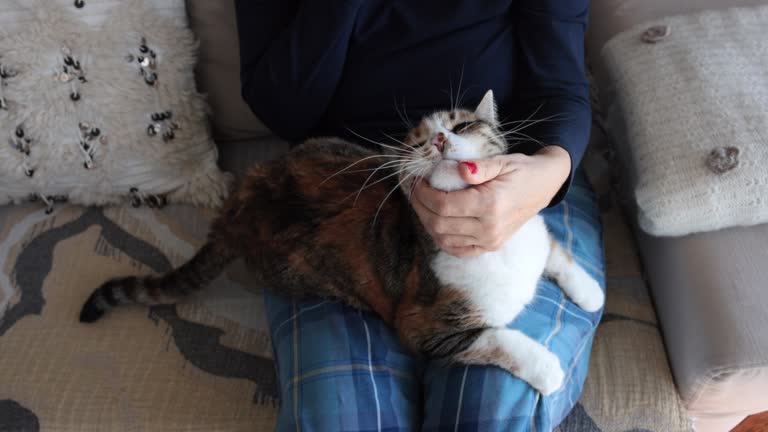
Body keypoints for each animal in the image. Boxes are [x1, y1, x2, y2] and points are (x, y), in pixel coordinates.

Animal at [79, 90, 608, 394]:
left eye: (460, 126)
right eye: (417, 142)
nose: (438, 142)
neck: (495, 247)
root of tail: (243, 199)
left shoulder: (528, 227)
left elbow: (555, 251)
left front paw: (590, 291)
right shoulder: (427, 326)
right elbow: (498, 339)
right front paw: (546, 367)